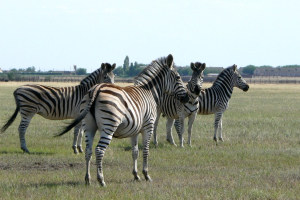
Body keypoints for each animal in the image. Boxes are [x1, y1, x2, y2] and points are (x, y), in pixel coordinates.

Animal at [55, 54, 189, 186]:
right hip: (109, 126)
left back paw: (88, 179)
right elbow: (145, 150)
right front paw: (146, 175)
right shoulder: (148, 126)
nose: (187, 97)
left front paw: (136, 175)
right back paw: (101, 180)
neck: (150, 92)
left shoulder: (134, 130)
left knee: (88, 151)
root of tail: (96, 89)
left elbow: (135, 152)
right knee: (99, 150)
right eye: (178, 77)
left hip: (89, 126)